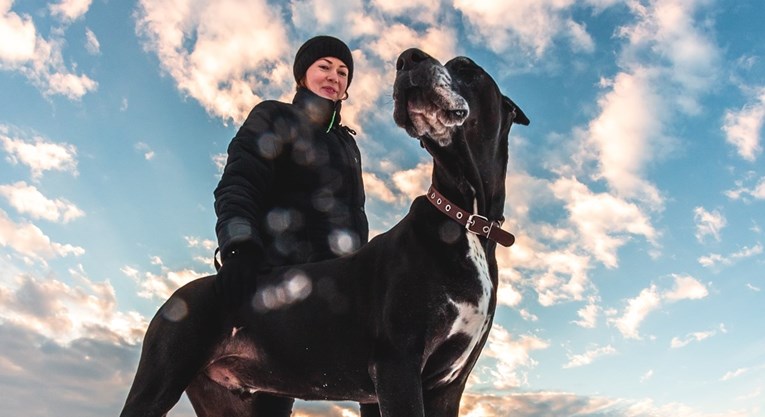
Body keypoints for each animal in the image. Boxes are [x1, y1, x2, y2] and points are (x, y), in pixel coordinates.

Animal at [119, 47, 528, 414]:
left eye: (466, 68)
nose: (408, 58)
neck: (466, 217)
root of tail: (174, 297)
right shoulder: (397, 365)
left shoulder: (447, 385)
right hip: (159, 379)